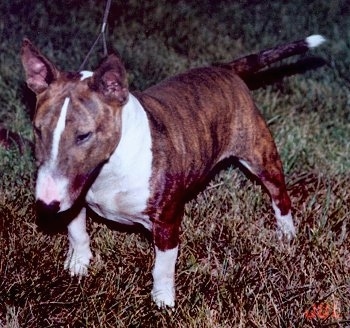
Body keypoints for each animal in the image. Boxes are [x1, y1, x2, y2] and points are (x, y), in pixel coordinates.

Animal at [20, 34, 324, 308]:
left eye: (84, 135)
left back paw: (286, 233)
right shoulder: (74, 194)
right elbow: (77, 231)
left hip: (259, 152)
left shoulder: (167, 222)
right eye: (37, 129)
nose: (46, 205)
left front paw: (163, 301)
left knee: (279, 193)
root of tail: (225, 68)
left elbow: (163, 267)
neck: (108, 168)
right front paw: (78, 265)